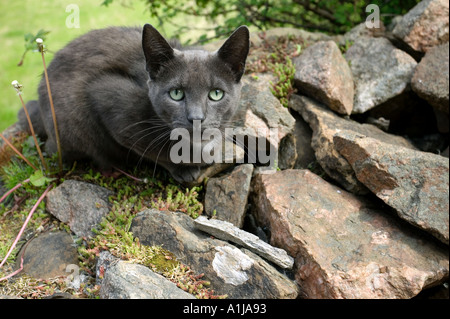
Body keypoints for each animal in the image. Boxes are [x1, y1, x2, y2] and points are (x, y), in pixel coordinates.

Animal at [19, 24, 250, 184]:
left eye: (216, 94)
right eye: (176, 93)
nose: (196, 118)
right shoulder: (110, 101)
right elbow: (154, 151)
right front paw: (185, 168)